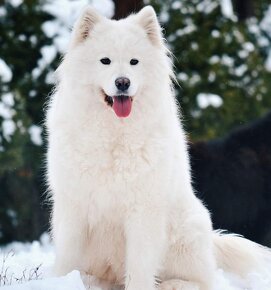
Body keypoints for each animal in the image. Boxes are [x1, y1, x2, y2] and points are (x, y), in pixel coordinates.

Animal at [45, 6, 270, 290]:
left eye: (134, 62)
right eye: (105, 61)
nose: (122, 82)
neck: (114, 134)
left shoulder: (144, 210)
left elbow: (140, 266)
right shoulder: (73, 205)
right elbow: (67, 257)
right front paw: (63, 281)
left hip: (186, 231)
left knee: (201, 281)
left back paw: (171, 284)